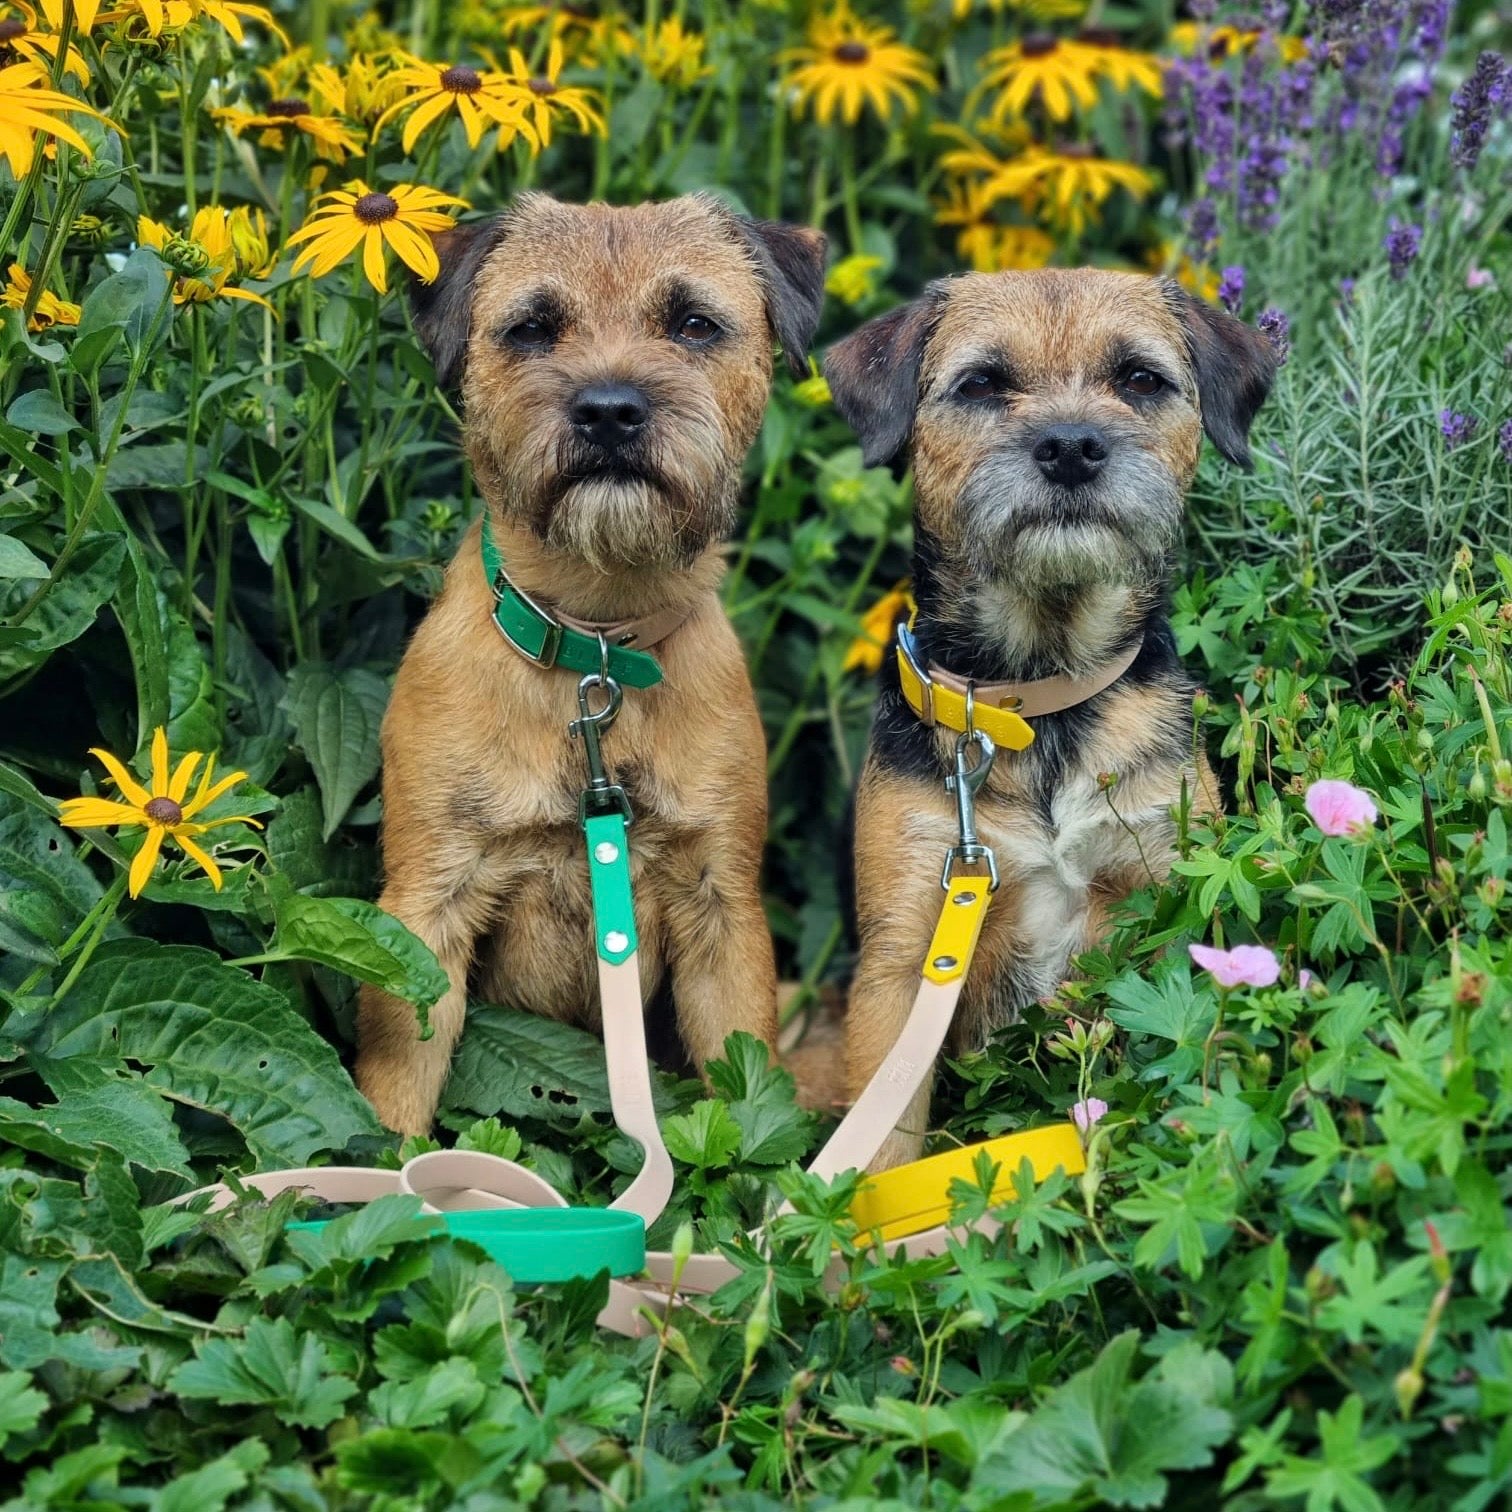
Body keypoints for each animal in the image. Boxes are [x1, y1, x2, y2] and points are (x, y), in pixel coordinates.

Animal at [355, 192, 828, 1137]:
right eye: (533, 328)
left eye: (693, 324)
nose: (610, 410)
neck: (596, 637)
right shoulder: (424, 914)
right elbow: (397, 1086)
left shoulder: (722, 911)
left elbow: (744, 1077)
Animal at [822, 269, 1270, 1167]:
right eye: (982, 384)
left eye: (1139, 379)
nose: (1070, 447)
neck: (1040, 699)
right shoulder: (905, 957)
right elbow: (882, 1146)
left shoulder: (1165, 900)